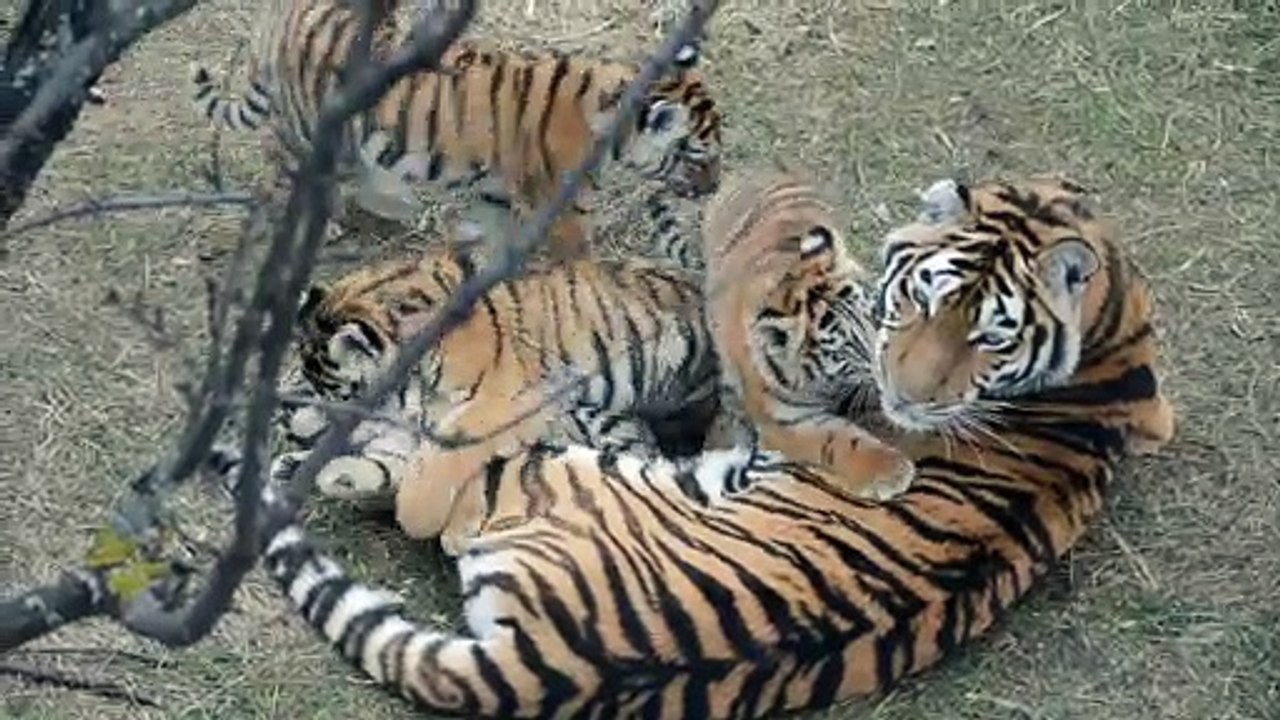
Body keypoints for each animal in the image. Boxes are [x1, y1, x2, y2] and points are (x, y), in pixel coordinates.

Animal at [189, 0, 723, 260]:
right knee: (281, 161)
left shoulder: (496, 196)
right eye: (699, 155)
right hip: (309, 128)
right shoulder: (565, 214)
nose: (715, 188)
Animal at [269, 236, 719, 553]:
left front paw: (426, 520)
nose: (291, 428)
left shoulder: (499, 404)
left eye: (331, 397)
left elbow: (436, 470)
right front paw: (313, 470)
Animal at [696, 166, 913, 500]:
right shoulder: (789, 423)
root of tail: (760, 170)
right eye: (845, 347)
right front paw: (892, 471)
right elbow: (840, 441)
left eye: (873, 317)